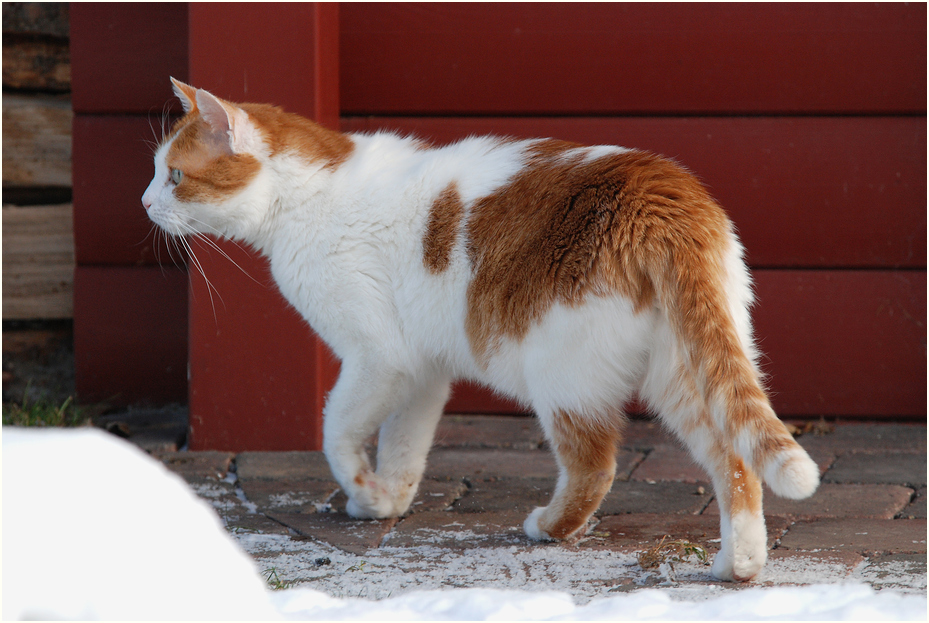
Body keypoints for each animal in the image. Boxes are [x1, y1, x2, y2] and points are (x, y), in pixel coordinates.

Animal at [141, 79, 816, 584]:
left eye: (173, 176)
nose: (145, 203)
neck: (307, 196)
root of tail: (663, 194)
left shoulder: (377, 358)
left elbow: (336, 430)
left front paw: (361, 489)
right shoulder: (420, 372)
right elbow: (404, 446)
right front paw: (386, 501)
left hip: (562, 375)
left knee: (596, 465)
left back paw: (548, 527)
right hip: (684, 372)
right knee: (735, 460)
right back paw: (739, 564)